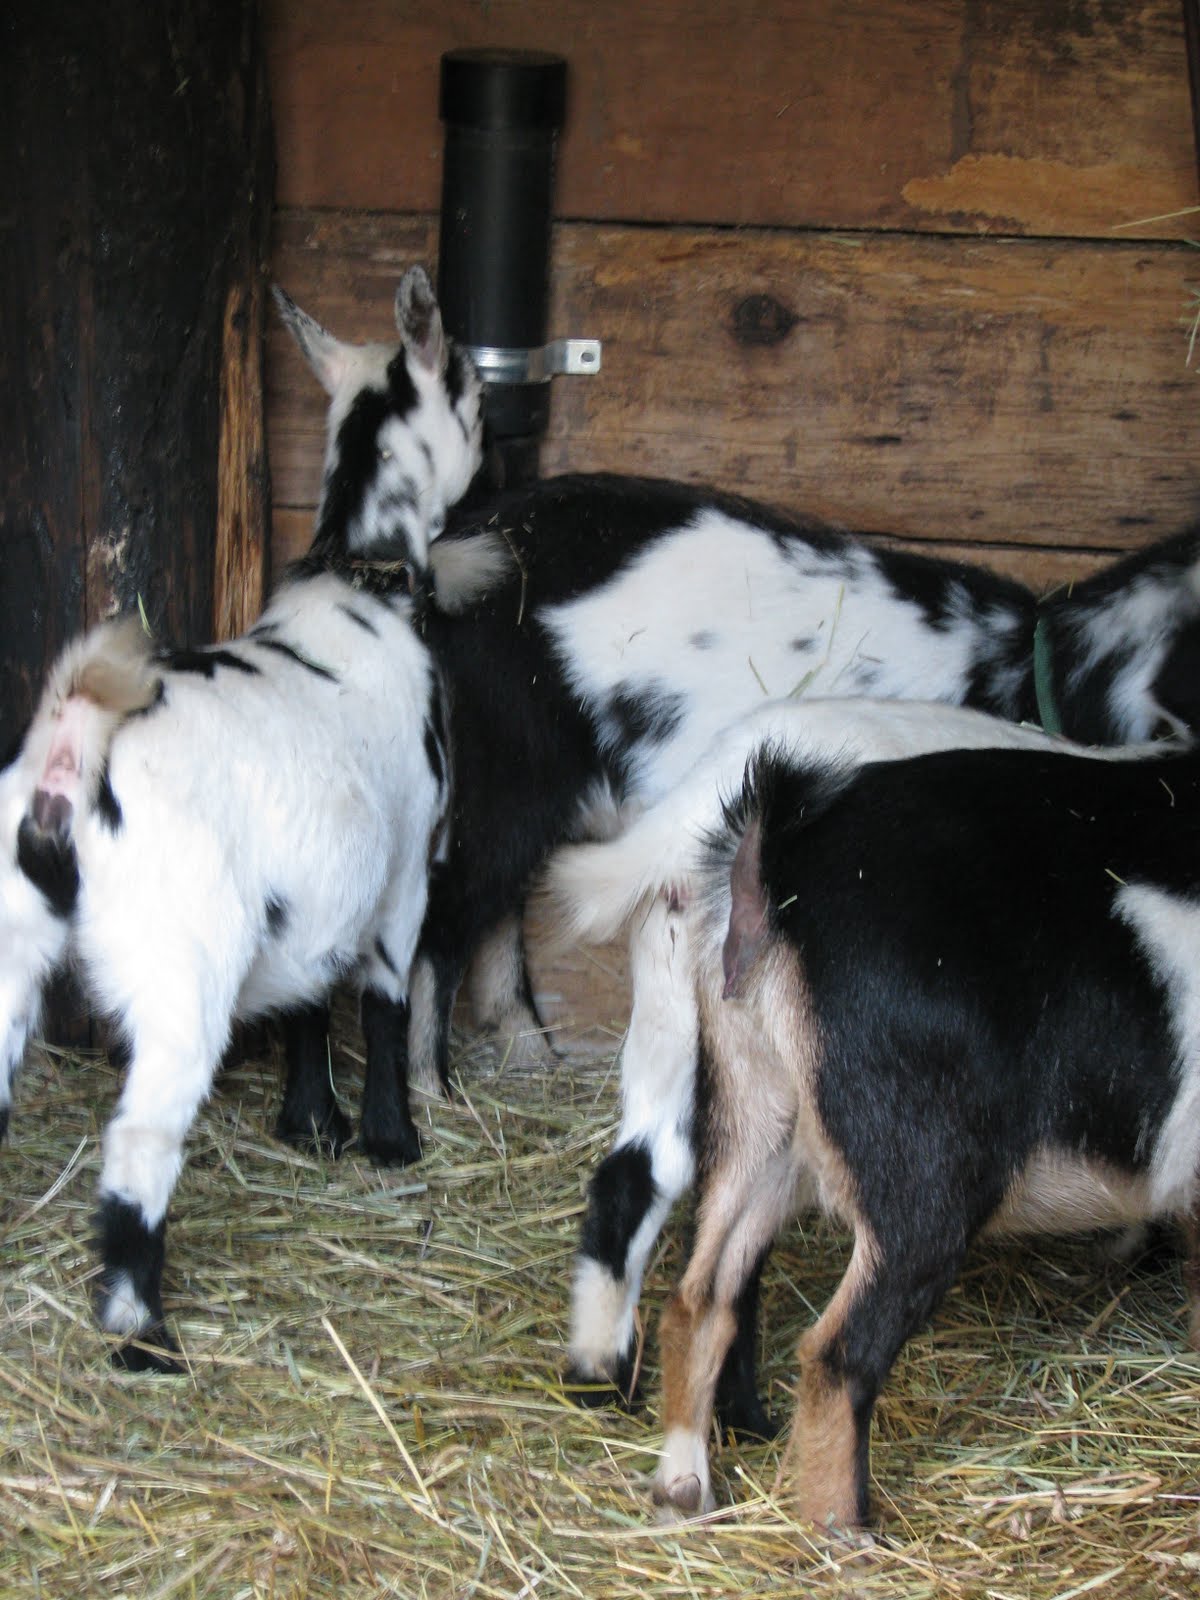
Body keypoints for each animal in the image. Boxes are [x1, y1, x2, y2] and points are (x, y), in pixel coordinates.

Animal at [3, 267, 480, 1366]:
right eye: (474, 387)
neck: (362, 595)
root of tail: (71, 754)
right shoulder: (402, 872)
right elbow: (382, 1003)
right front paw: (391, 1141)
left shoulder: (318, 884)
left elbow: (307, 997)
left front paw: (310, 1126)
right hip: (179, 973)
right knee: (139, 1142)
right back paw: (141, 1336)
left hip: (7, 941)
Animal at [651, 737, 1200, 1529]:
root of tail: (774, 860)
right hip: (921, 1176)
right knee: (837, 1355)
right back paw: (846, 1532)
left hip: (758, 1115)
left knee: (700, 1297)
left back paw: (681, 1492)